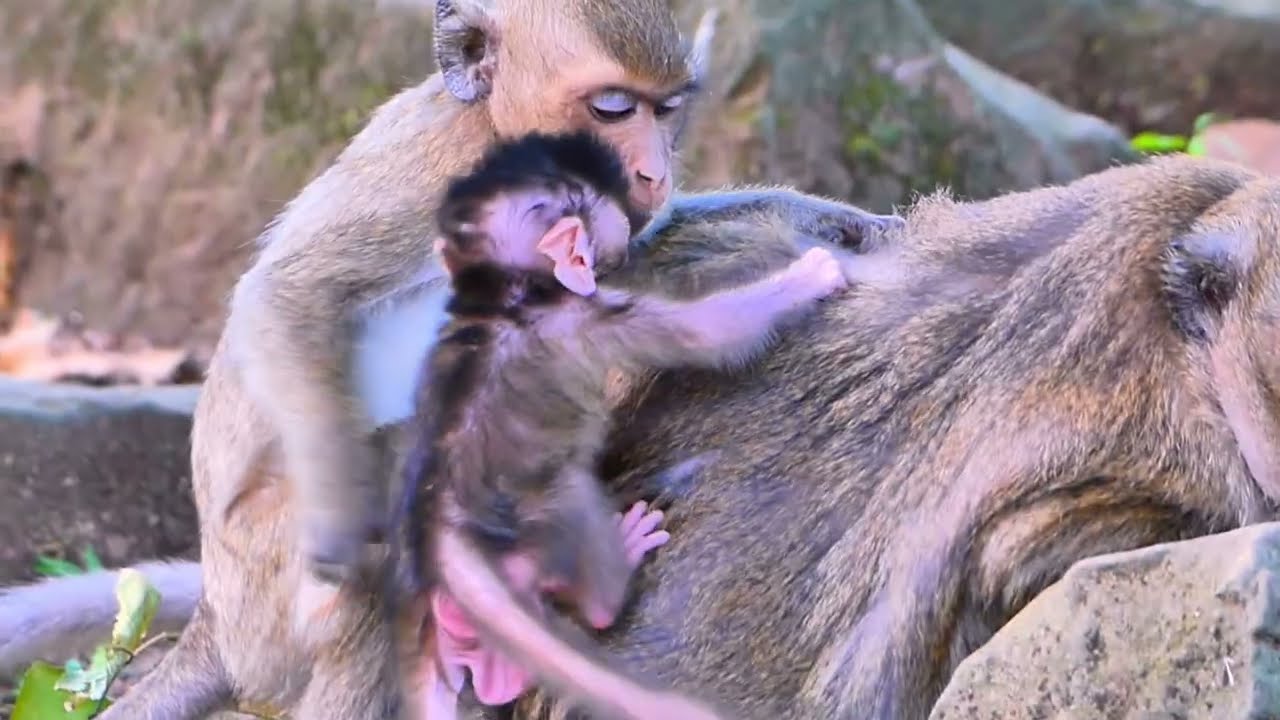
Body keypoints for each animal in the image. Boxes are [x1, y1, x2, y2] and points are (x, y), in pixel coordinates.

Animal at [395, 129, 847, 719]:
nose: (619, 250)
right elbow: (709, 333)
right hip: (548, 532)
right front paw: (812, 275)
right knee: (573, 505)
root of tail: (443, 537)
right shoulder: (589, 318)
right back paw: (616, 576)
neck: (501, 294)